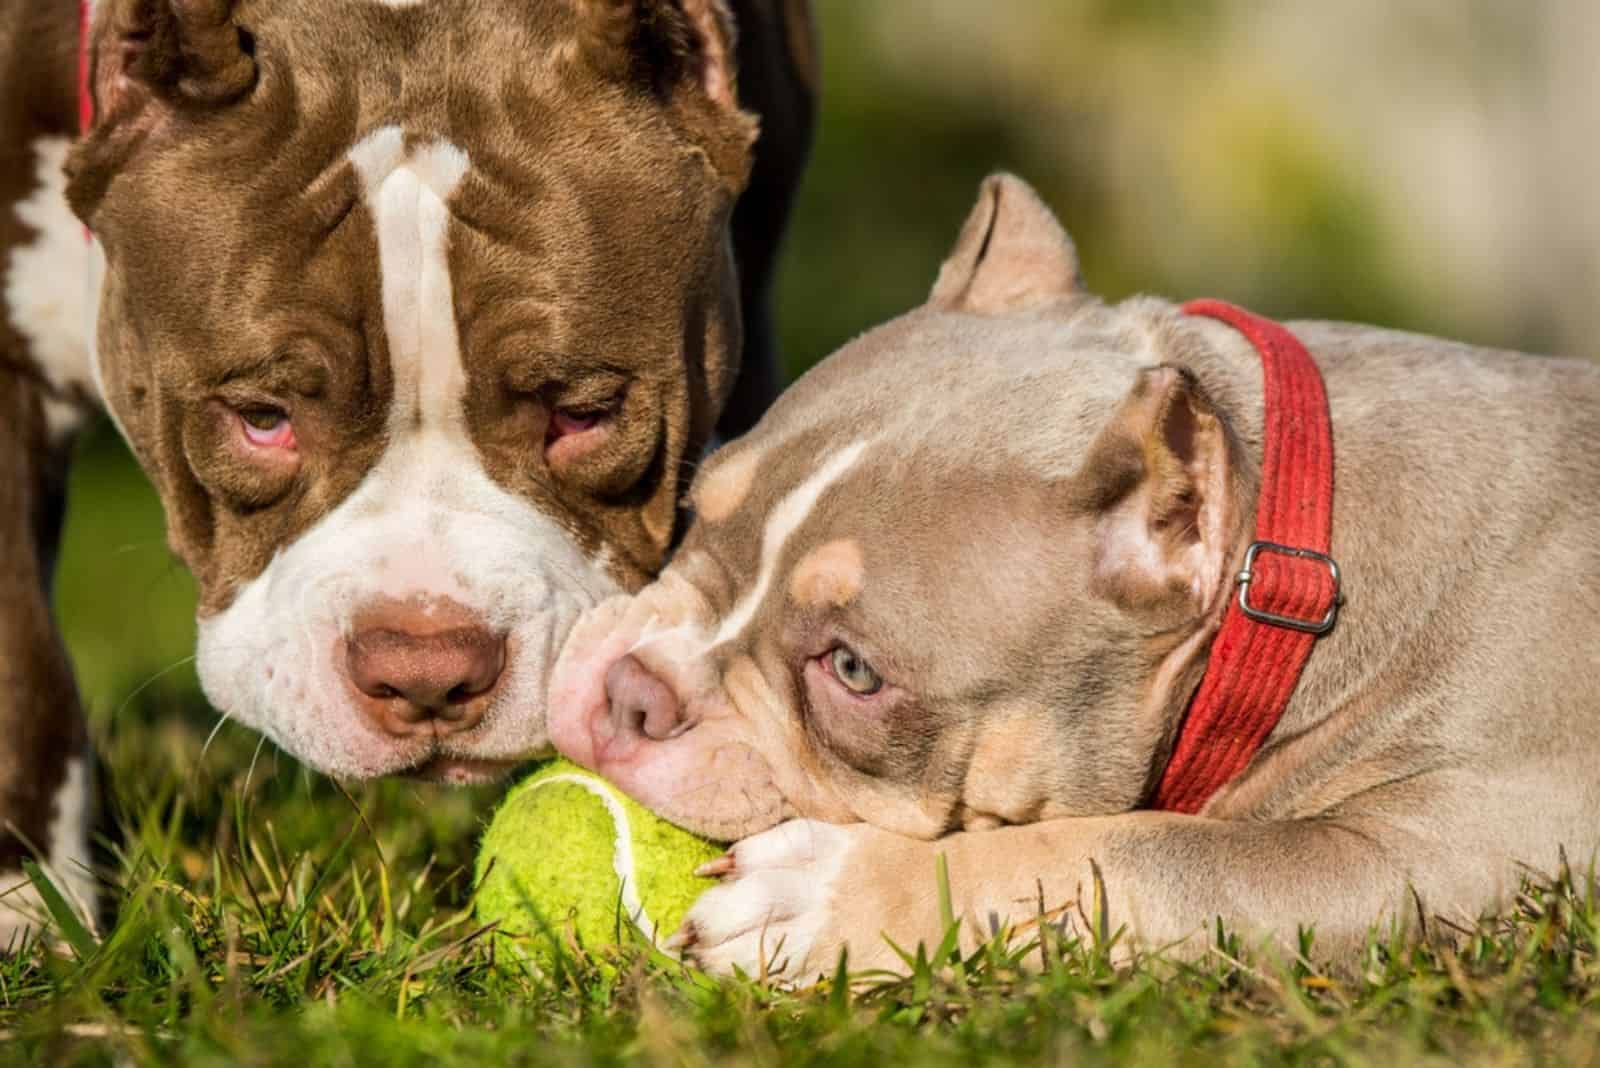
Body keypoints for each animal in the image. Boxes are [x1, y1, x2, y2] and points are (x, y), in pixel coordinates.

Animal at [550, 173, 1600, 978]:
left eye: (853, 671)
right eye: (696, 508)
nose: (629, 690)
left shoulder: (1441, 857)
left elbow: (1147, 856)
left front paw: (833, 896)